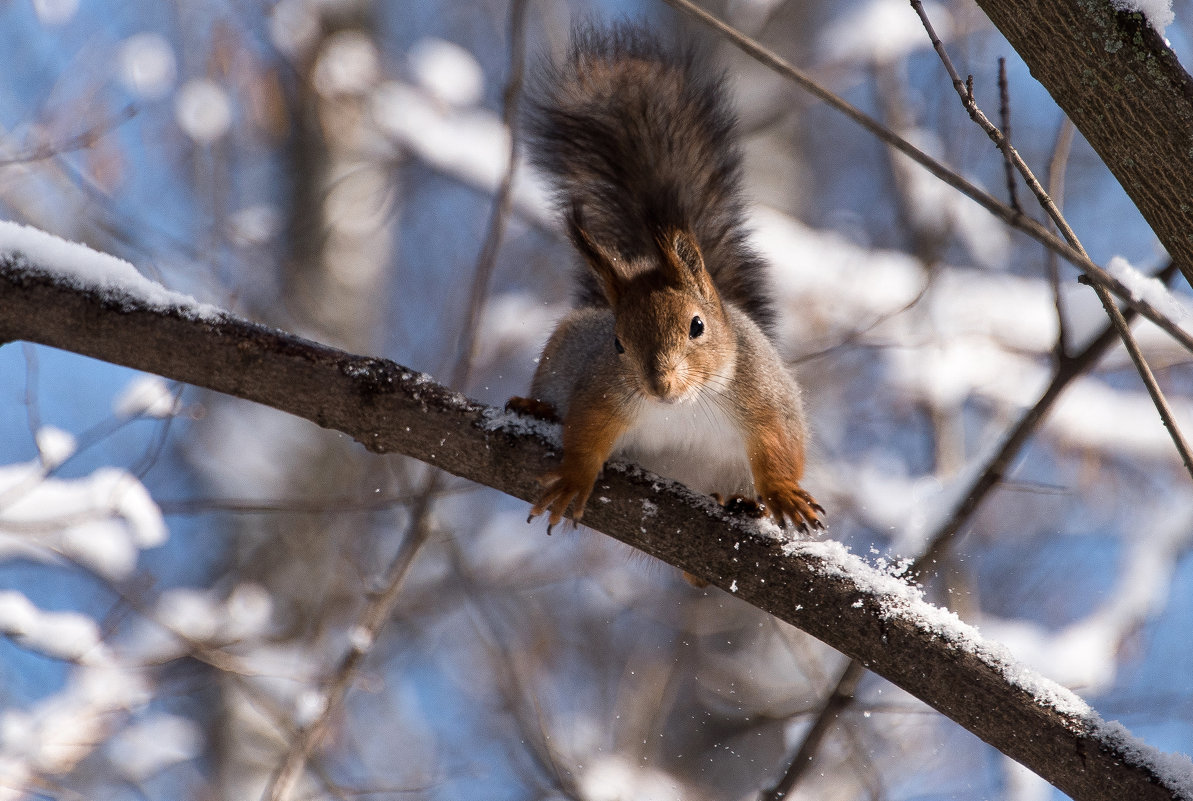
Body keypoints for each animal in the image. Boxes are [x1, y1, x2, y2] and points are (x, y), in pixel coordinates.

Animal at [508, 23, 825, 532]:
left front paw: (781, 493)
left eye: (697, 326)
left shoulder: (764, 395)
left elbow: (781, 443)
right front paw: (574, 478)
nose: (659, 385)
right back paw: (534, 406)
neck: (685, 407)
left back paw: (743, 502)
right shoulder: (603, 391)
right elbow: (584, 432)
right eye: (618, 343)